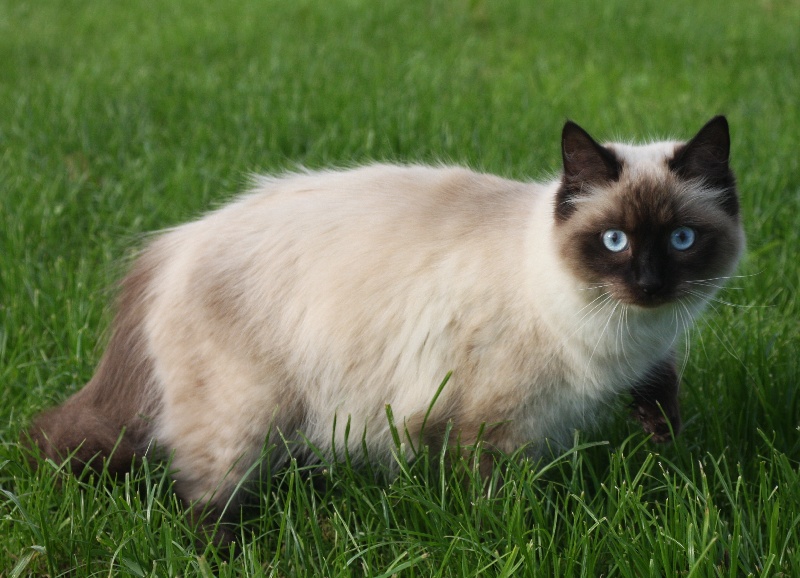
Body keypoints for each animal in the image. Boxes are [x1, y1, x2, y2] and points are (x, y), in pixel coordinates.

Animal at [28, 115, 748, 532]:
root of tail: (171, 245)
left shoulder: (652, 364)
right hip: (240, 419)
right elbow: (502, 508)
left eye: (682, 239)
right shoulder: (496, 430)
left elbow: (663, 401)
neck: (622, 332)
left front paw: (668, 451)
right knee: (205, 504)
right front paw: (516, 537)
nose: (650, 285)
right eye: (615, 241)